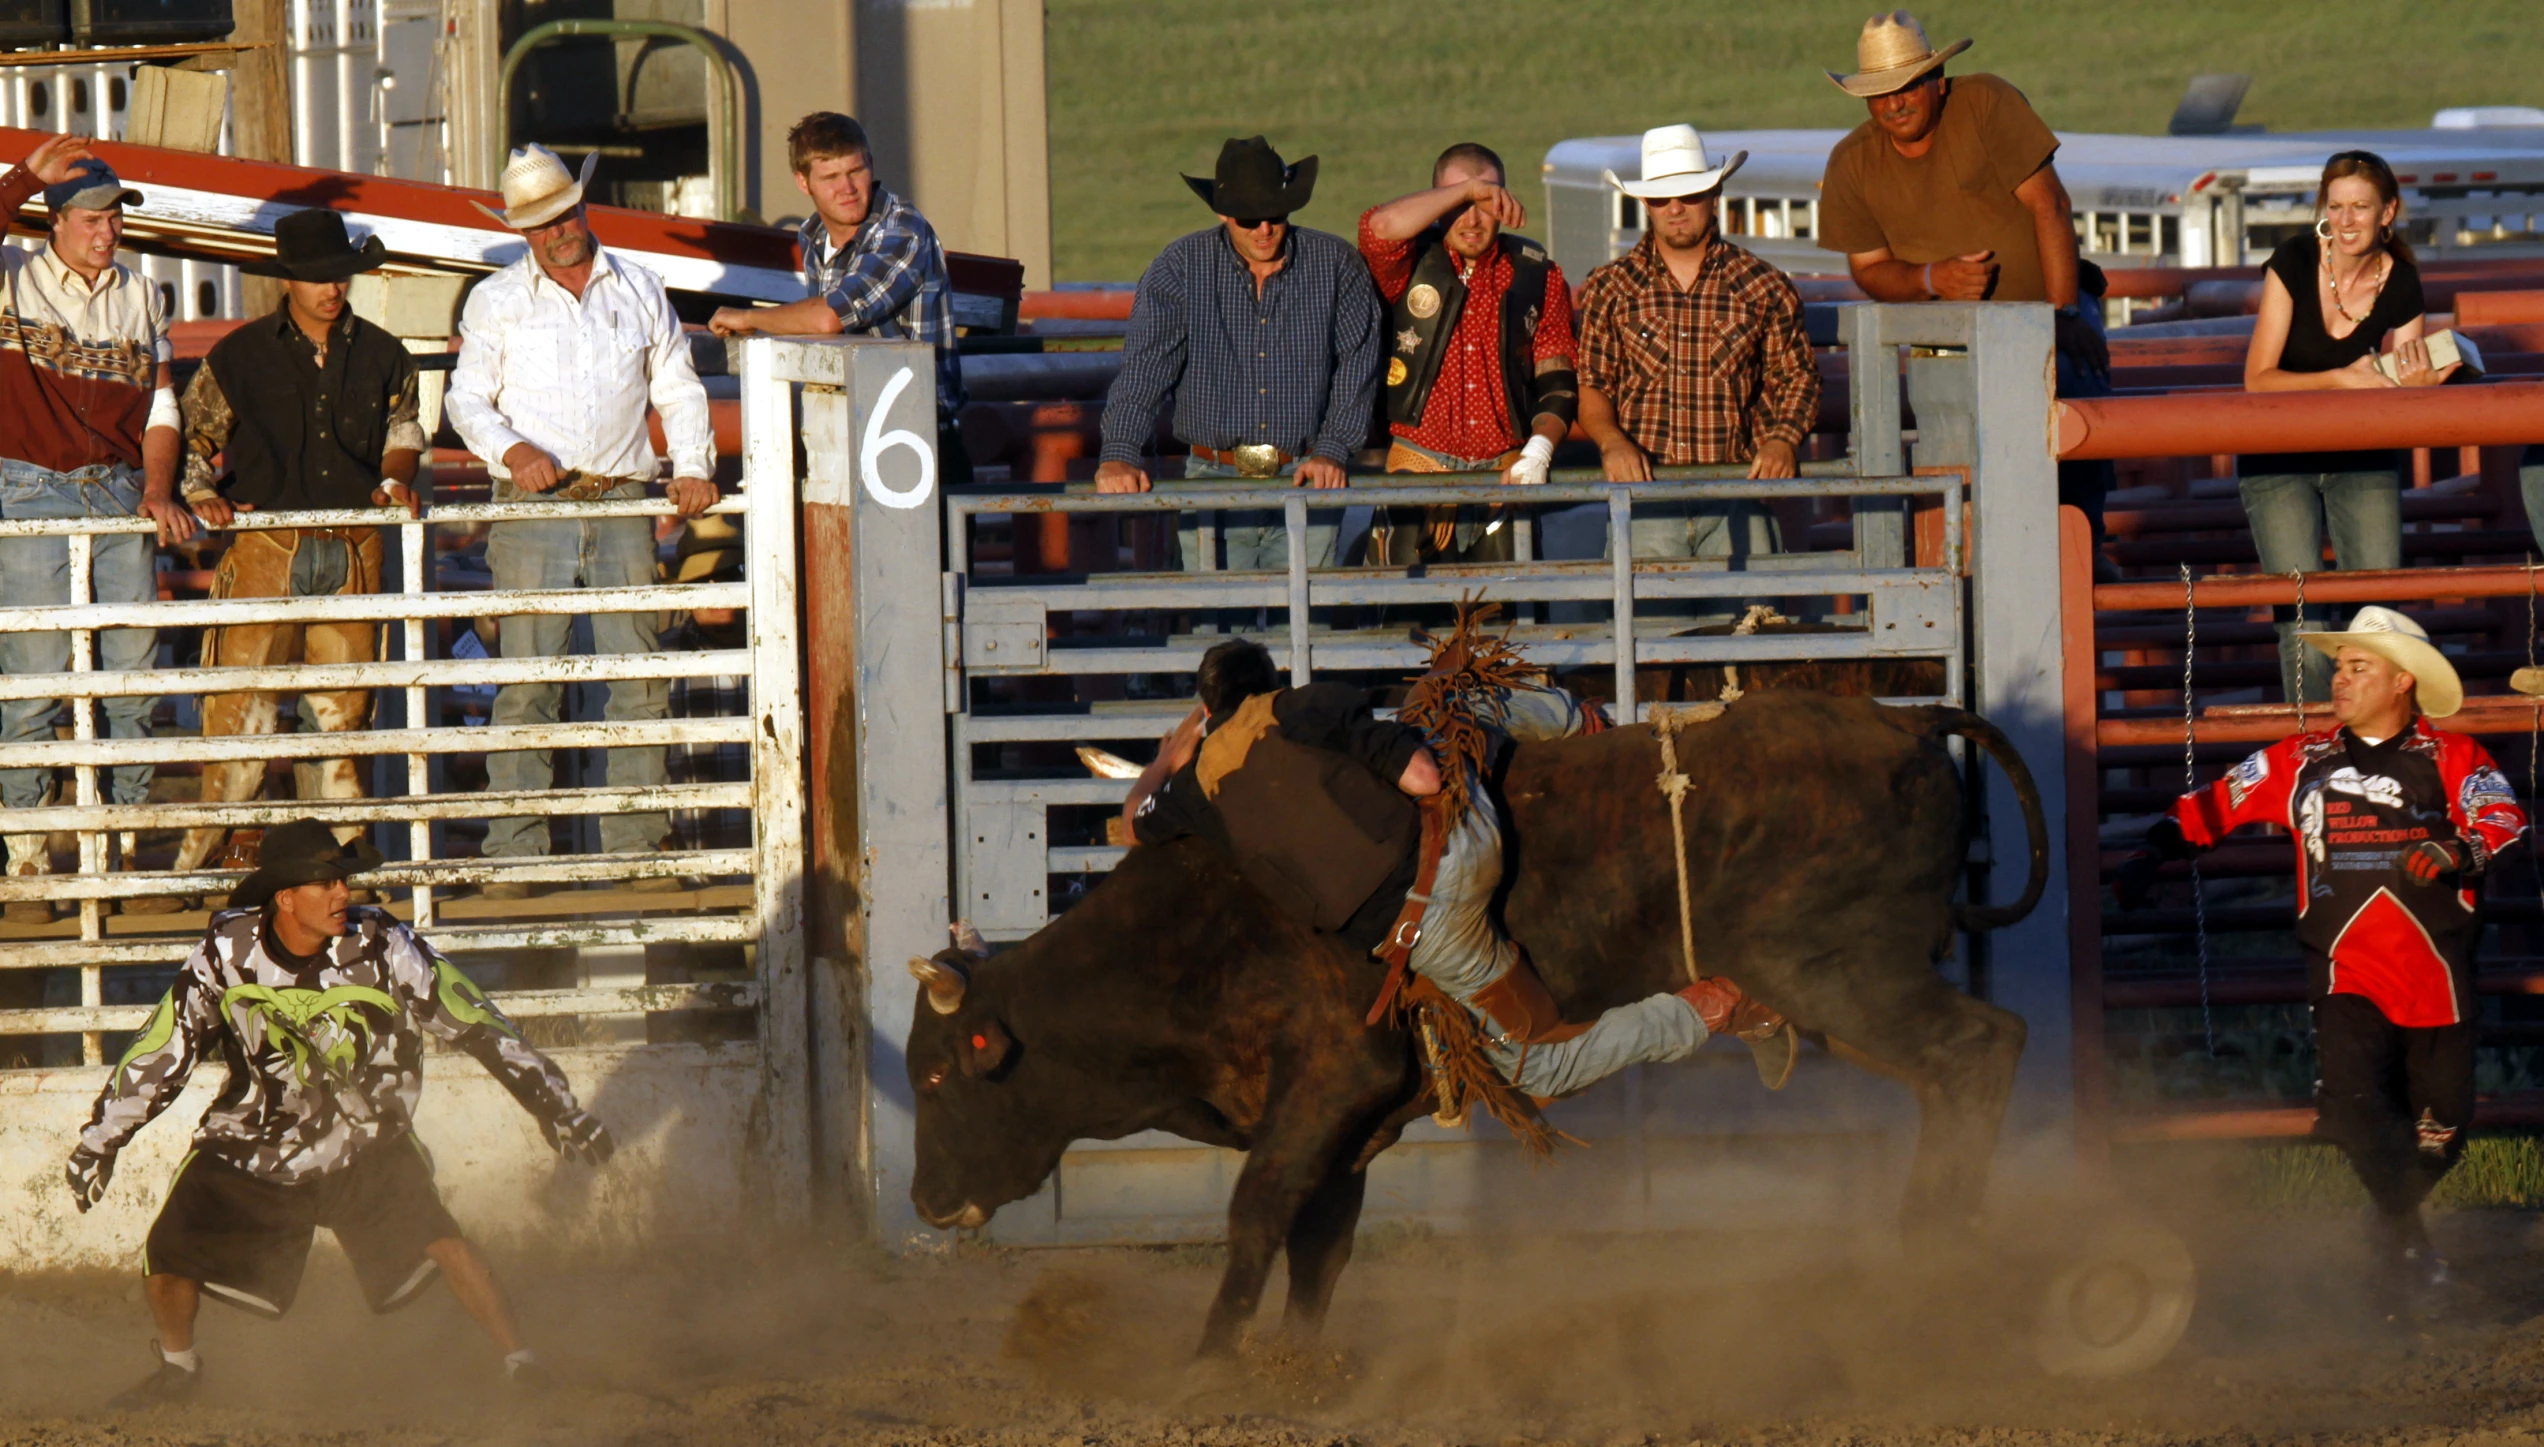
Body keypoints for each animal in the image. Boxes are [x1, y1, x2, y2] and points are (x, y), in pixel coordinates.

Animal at [910, 691, 2045, 1363]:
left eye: (936, 1076)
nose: (923, 1199)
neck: (1194, 934)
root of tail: (1904, 721)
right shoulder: (1349, 1130)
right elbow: (1321, 1246)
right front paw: (1294, 1365)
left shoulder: (1325, 1086)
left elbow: (1257, 1214)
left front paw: (1207, 1362)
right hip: (1840, 990)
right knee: (1958, 1066)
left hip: (1847, 975)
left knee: (1982, 1050)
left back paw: (1935, 1252)